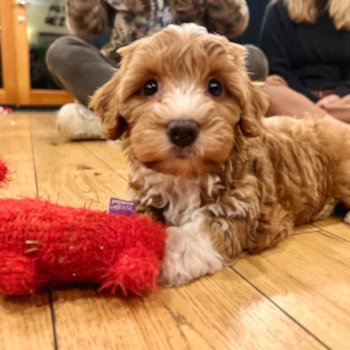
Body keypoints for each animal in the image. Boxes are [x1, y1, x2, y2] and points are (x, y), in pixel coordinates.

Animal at [89, 23, 350, 288]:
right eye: (149, 87)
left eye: (215, 87)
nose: (183, 130)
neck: (185, 176)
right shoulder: (144, 195)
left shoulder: (243, 209)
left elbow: (205, 230)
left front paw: (168, 252)